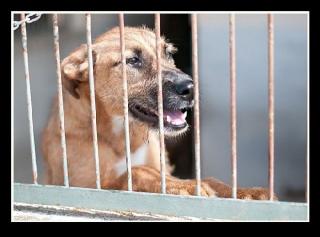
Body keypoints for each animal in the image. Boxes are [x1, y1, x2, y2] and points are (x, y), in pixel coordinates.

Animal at [42, 26, 272, 200]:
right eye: (133, 60)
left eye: (168, 53)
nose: (190, 88)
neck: (122, 135)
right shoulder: (84, 185)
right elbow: (137, 171)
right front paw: (187, 186)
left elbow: (209, 179)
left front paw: (243, 192)